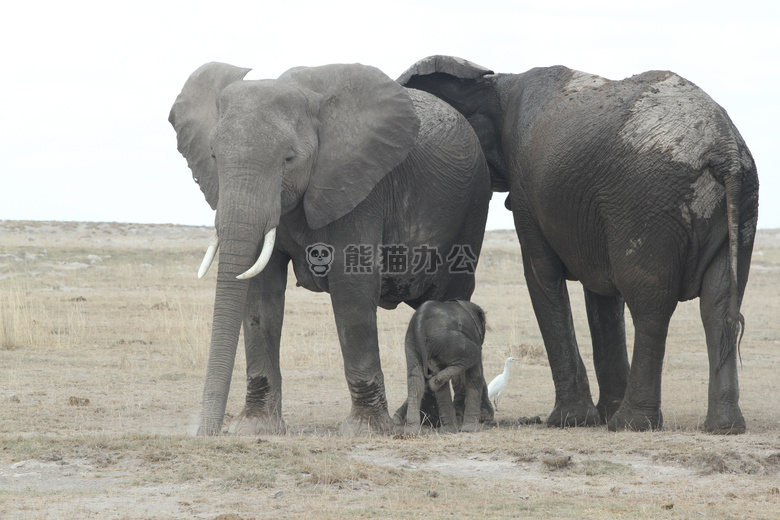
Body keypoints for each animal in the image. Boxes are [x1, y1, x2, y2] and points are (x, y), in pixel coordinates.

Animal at [394, 298, 490, 432]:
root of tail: (419, 324)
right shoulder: (473, 334)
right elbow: (475, 374)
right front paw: (470, 430)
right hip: (446, 340)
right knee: (473, 353)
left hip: (413, 343)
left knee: (415, 378)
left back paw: (414, 431)